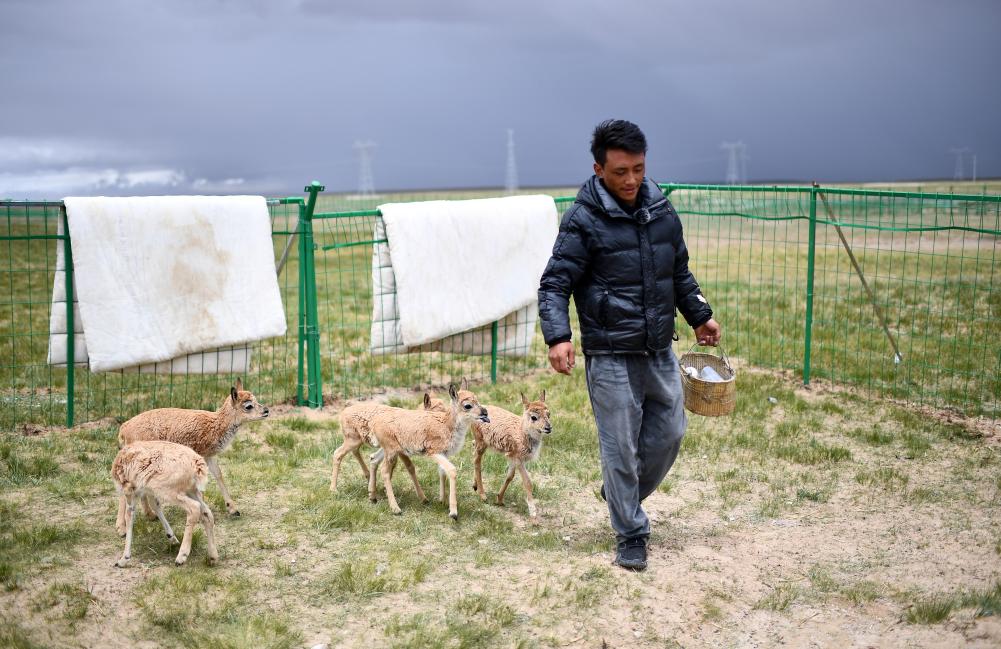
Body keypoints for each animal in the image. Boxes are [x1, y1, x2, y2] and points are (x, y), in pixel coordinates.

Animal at [117, 378, 269, 517]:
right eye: (248, 406)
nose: (266, 410)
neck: (216, 425)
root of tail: (123, 429)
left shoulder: (209, 455)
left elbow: (218, 474)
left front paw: (233, 509)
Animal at [367, 385, 489, 520]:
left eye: (477, 400)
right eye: (467, 405)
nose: (485, 412)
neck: (446, 425)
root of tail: (374, 423)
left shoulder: (443, 454)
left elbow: (442, 472)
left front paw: (442, 501)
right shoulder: (434, 452)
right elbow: (452, 470)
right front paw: (453, 512)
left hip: (387, 449)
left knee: (373, 459)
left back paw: (372, 497)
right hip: (391, 451)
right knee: (384, 470)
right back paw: (396, 508)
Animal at [472, 391, 551, 522]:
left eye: (549, 414)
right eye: (534, 417)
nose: (548, 428)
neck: (522, 433)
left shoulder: (513, 458)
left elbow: (510, 476)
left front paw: (499, 499)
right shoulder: (519, 459)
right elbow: (527, 482)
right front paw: (533, 516)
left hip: (480, 442)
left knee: (473, 450)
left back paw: (475, 486)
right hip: (481, 441)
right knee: (477, 461)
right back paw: (483, 495)